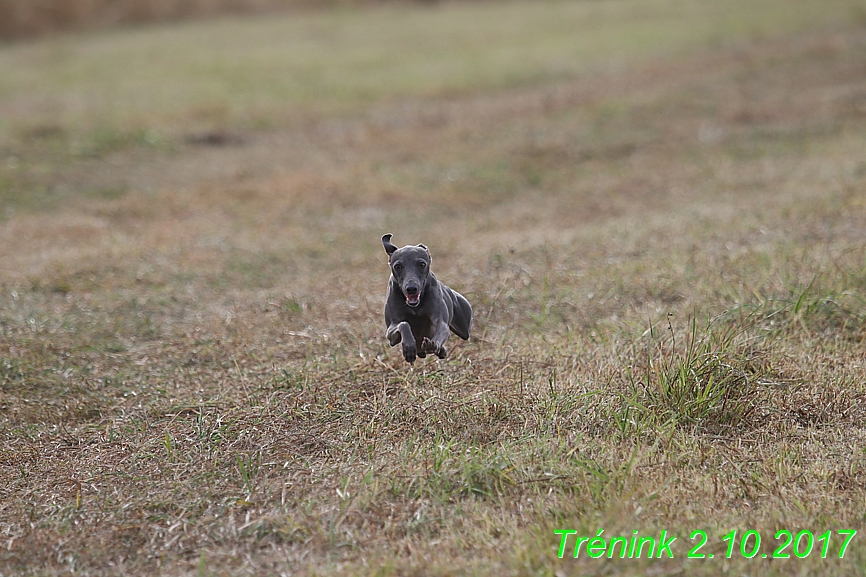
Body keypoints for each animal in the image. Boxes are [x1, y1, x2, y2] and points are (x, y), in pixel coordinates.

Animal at [380, 232, 470, 362]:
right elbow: (403, 324)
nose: (411, 288)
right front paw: (409, 347)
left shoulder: (441, 322)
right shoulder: (391, 333)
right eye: (398, 266)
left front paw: (433, 345)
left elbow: (441, 328)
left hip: (464, 327)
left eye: (421, 264)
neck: (415, 306)